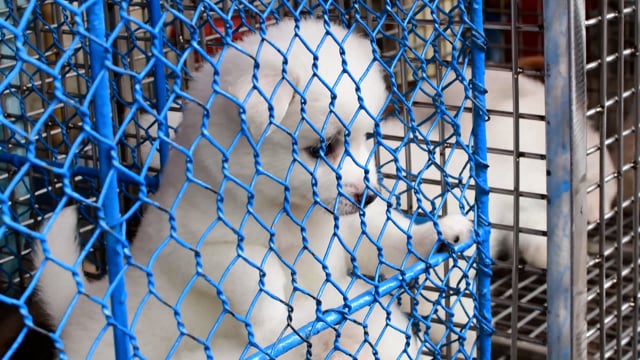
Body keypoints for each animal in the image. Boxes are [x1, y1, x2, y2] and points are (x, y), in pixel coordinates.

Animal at [36, 18, 476, 358]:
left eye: (368, 137)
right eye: (322, 149)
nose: (367, 196)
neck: (289, 211)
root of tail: (80, 305)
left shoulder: (349, 229)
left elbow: (393, 237)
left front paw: (443, 231)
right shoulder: (201, 248)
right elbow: (258, 267)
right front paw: (274, 325)